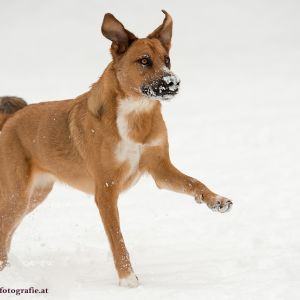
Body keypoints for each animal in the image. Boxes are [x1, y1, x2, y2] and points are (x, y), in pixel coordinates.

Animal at [0, 11, 233, 288]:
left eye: (167, 59)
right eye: (144, 61)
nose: (173, 82)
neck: (135, 113)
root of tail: (10, 119)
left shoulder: (161, 169)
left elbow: (193, 182)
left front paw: (215, 200)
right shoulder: (106, 190)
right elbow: (117, 238)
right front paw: (128, 279)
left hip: (34, 195)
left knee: (7, 233)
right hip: (16, 195)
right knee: (3, 230)